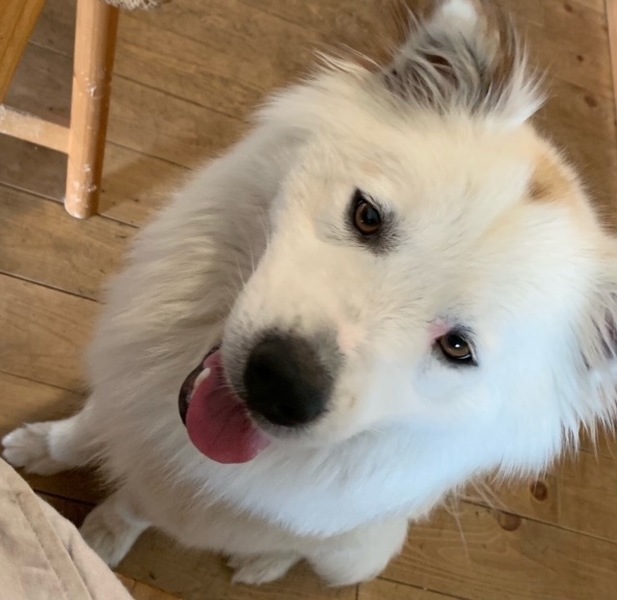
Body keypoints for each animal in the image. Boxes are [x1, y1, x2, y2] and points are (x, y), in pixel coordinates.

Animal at [3, 0, 617, 587]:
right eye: (367, 216)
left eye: (458, 348)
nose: (279, 385)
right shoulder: (121, 390)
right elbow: (85, 428)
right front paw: (38, 449)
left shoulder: (171, 492)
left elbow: (133, 506)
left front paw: (98, 541)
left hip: (351, 555)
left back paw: (260, 564)